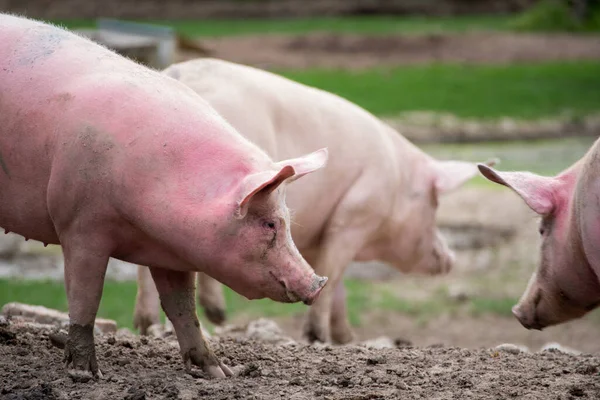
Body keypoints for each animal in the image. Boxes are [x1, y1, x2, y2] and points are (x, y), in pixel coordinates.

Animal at [0, 14, 328, 380]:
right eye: (270, 224)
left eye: (287, 220)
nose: (319, 282)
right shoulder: (78, 223)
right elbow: (86, 297)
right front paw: (86, 374)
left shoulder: (171, 254)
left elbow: (182, 308)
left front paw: (220, 373)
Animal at [132, 58, 492, 344]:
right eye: (434, 205)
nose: (451, 258)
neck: (398, 182)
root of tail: (178, 74)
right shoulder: (355, 217)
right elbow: (333, 276)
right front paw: (318, 338)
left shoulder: (323, 233)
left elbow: (337, 282)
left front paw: (346, 339)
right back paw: (207, 320)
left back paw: (150, 327)